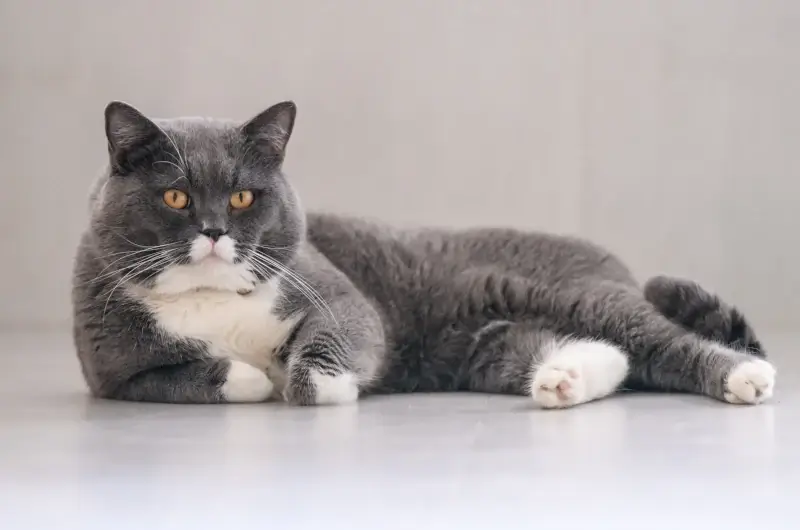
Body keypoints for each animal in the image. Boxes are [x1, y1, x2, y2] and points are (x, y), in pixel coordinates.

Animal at [73, 101, 776, 406]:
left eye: (244, 196)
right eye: (176, 196)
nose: (216, 230)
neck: (212, 299)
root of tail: (615, 264)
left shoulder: (333, 291)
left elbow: (338, 334)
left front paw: (316, 383)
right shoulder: (111, 370)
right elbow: (174, 377)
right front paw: (249, 377)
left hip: (572, 293)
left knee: (657, 340)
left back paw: (745, 377)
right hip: (481, 346)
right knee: (607, 355)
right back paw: (563, 380)